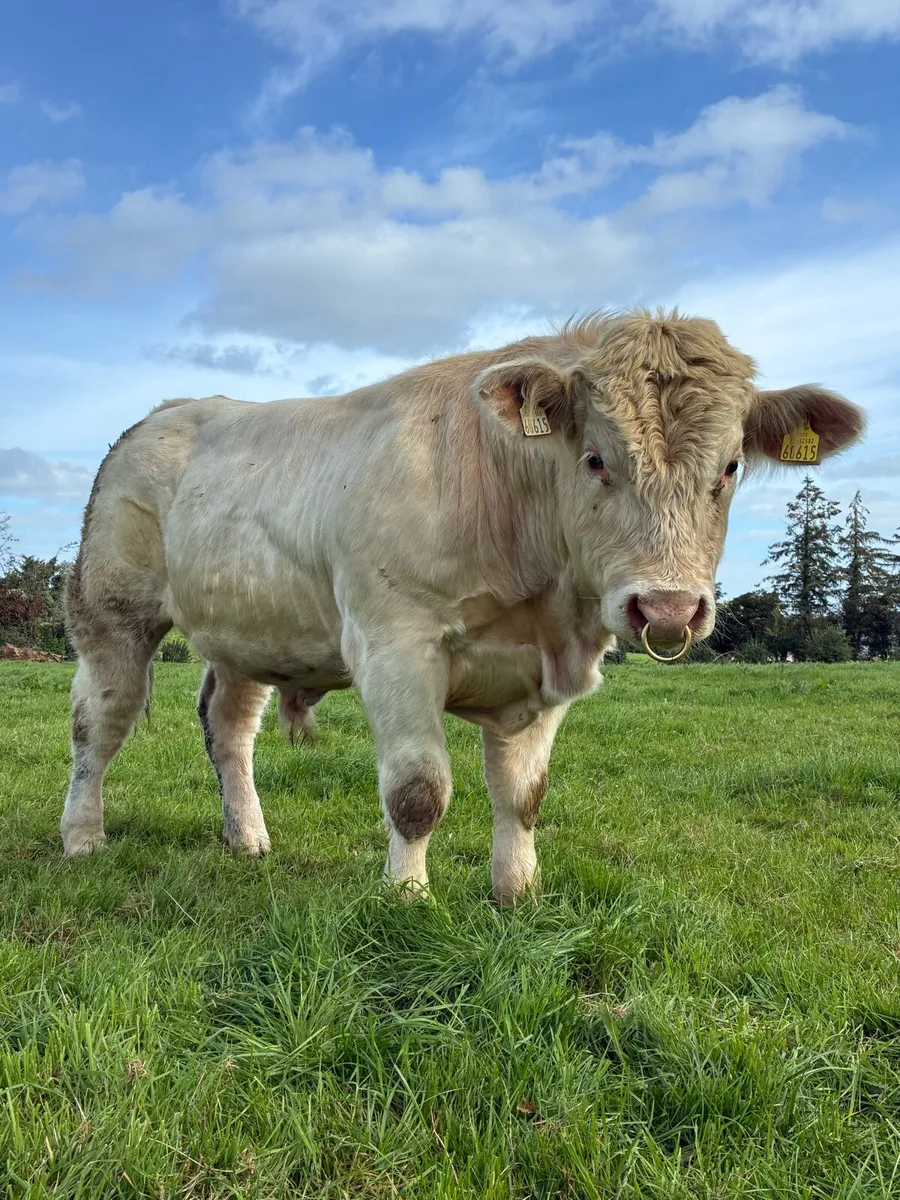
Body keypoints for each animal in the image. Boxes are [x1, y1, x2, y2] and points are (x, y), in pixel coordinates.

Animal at [60, 309, 863, 903]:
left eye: (729, 466)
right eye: (595, 459)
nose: (666, 609)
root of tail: (166, 413)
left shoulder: (546, 669)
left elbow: (523, 793)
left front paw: (518, 894)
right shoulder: (395, 645)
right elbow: (418, 790)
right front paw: (407, 897)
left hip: (251, 630)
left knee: (228, 727)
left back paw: (247, 838)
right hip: (111, 610)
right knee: (100, 721)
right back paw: (82, 836)